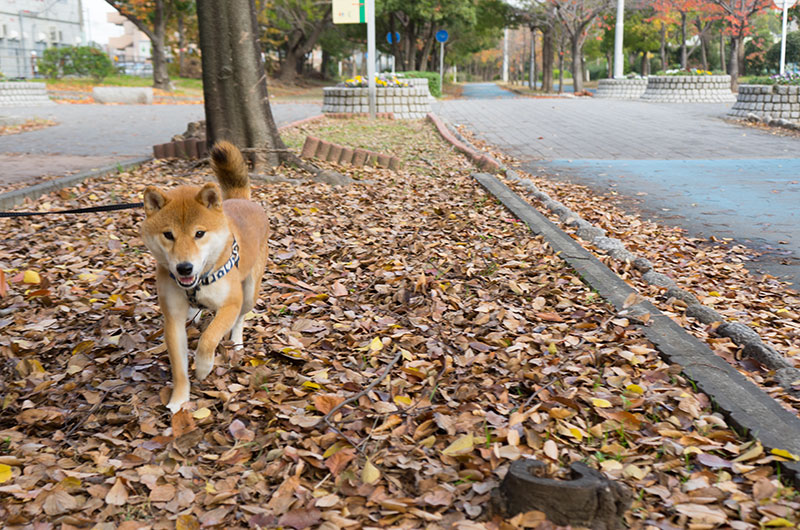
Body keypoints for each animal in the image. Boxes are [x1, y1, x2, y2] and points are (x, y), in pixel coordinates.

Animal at [142, 141, 270, 412]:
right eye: (168, 235)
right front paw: (179, 400)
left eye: (199, 233)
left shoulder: (230, 303)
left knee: (240, 319)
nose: (184, 268)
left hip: (249, 293)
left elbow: (209, 338)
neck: (199, 282)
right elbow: (179, 368)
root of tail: (240, 199)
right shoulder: (173, 320)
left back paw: (236, 341)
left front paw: (203, 367)